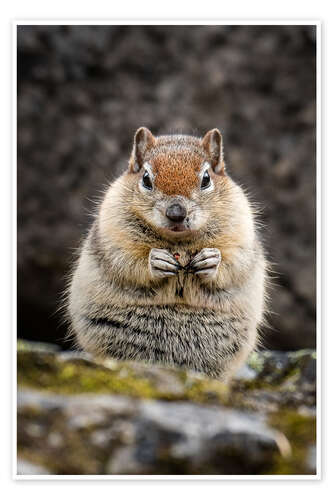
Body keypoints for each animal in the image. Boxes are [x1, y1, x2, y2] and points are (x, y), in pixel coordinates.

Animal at [67, 128, 264, 378]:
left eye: (206, 179)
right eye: (146, 179)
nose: (176, 213)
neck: (179, 244)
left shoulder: (240, 232)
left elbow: (234, 262)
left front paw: (211, 260)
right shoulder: (114, 233)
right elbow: (127, 260)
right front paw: (156, 261)